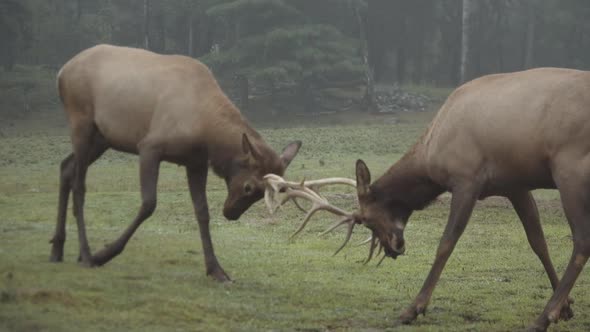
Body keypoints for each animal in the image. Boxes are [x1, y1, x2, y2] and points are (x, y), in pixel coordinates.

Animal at [48, 44, 302, 282]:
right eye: (249, 187)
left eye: (263, 194)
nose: (231, 213)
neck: (206, 132)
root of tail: (62, 72)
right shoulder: (149, 147)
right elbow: (148, 203)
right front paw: (105, 253)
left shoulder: (196, 161)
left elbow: (202, 212)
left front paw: (216, 270)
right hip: (81, 123)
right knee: (79, 185)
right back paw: (86, 254)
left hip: (102, 138)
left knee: (66, 167)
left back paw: (57, 248)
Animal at [268, 68, 590, 332]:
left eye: (367, 220)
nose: (394, 248)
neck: (430, 156)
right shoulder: (515, 185)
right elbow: (538, 242)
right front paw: (567, 307)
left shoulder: (466, 179)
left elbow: (446, 243)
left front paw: (413, 308)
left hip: (569, 168)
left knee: (582, 241)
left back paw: (541, 318)